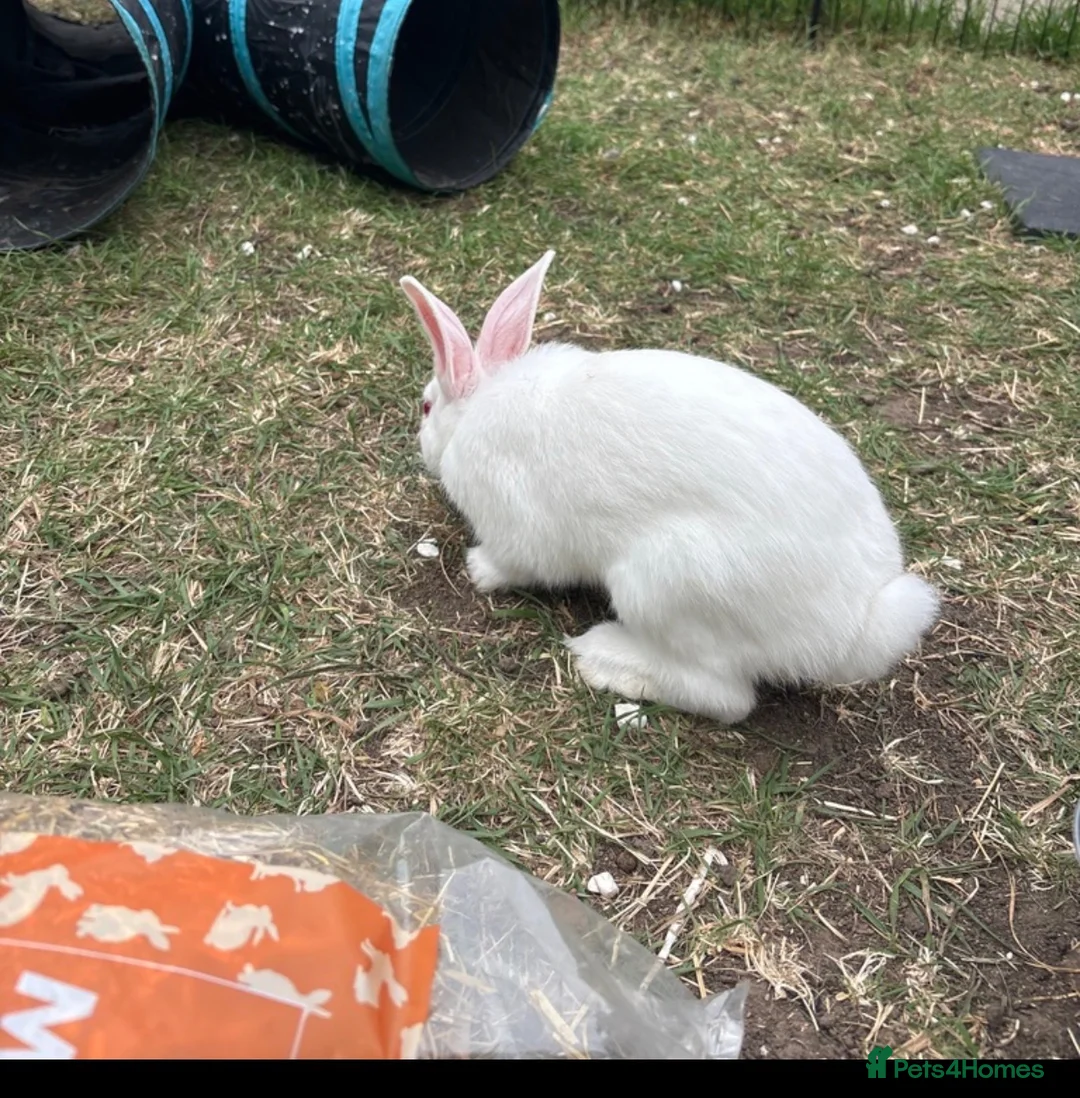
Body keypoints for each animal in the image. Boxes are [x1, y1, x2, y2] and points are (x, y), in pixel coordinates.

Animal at [399, 251, 940, 724]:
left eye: (425, 407)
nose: (420, 445)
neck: (479, 405)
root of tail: (852, 630)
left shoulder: (518, 529)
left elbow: (517, 562)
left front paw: (478, 570)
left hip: (662, 584)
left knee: (726, 698)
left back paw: (605, 658)